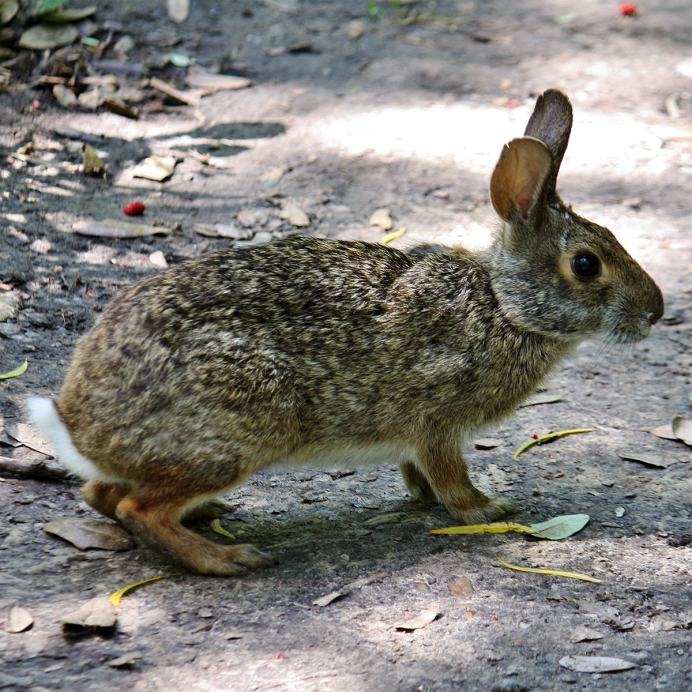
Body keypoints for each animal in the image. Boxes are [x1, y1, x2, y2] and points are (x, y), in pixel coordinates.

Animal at [28, 89, 663, 576]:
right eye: (586, 265)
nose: (656, 311)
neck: (503, 306)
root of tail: (80, 426)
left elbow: (417, 471)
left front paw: (424, 497)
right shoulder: (438, 418)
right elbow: (449, 472)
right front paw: (484, 509)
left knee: (102, 495)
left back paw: (206, 519)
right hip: (239, 426)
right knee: (136, 508)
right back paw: (225, 558)